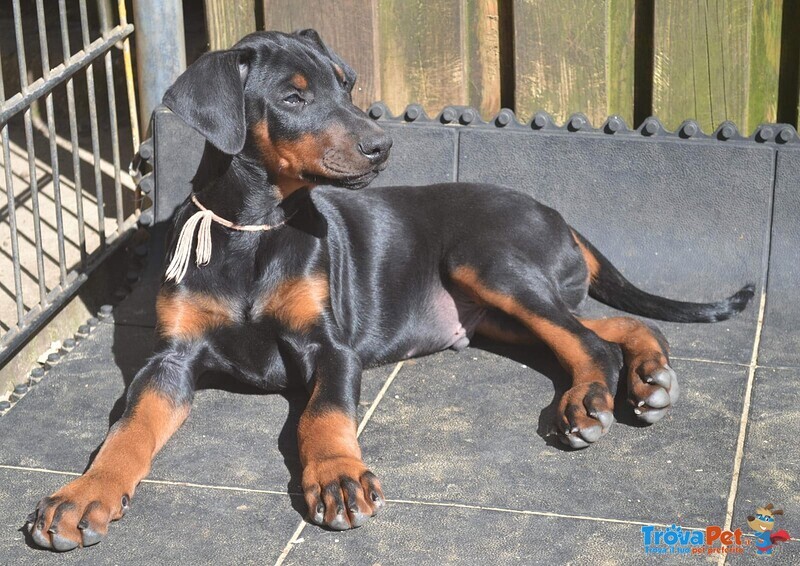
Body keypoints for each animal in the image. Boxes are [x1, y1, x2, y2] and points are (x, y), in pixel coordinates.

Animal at [25, 30, 752, 552]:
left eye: (346, 84)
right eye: (292, 97)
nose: (382, 146)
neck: (255, 227)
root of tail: (557, 215)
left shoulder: (331, 348)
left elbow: (324, 413)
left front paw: (338, 477)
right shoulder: (170, 359)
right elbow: (129, 427)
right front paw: (84, 495)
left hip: (487, 262)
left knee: (587, 340)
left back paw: (591, 402)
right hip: (495, 311)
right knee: (611, 328)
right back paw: (650, 377)